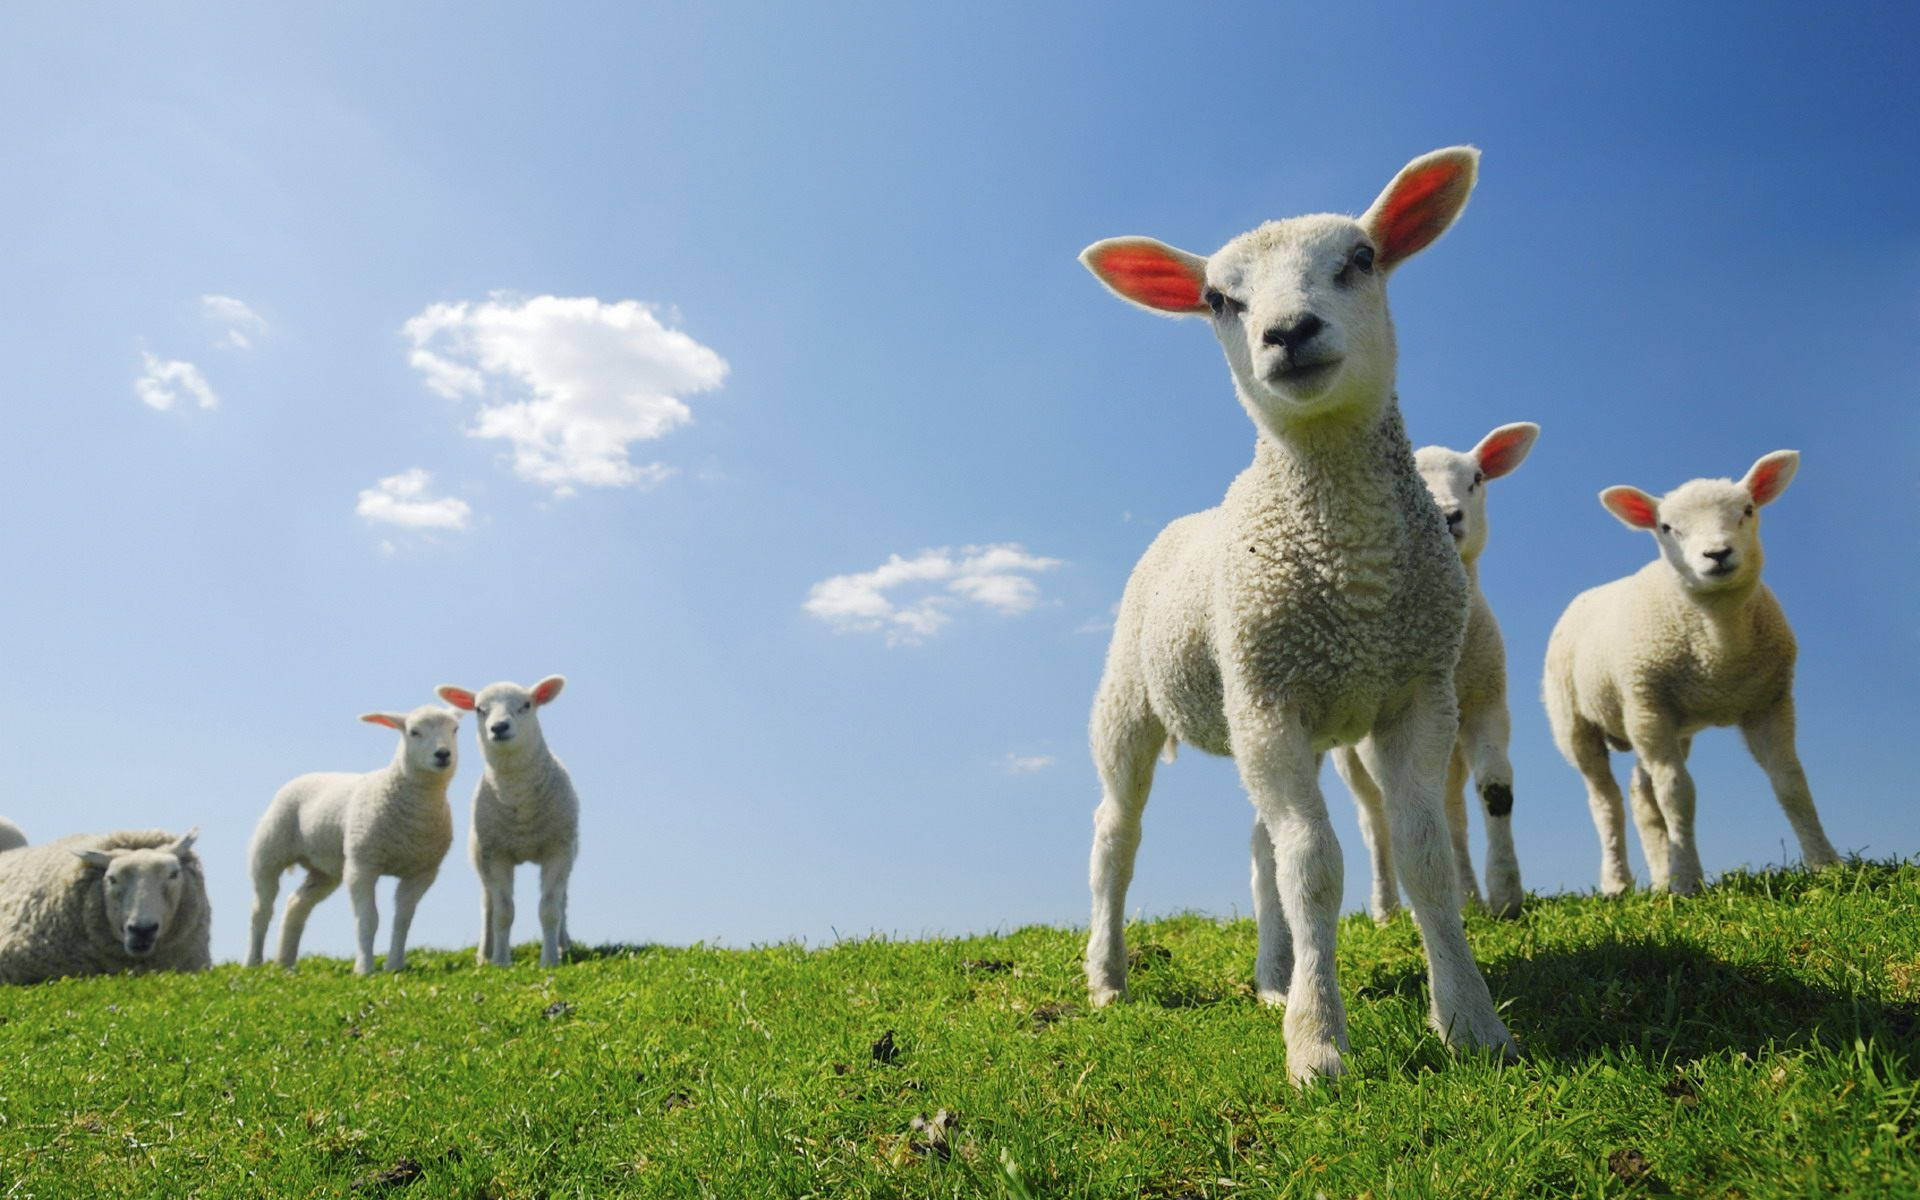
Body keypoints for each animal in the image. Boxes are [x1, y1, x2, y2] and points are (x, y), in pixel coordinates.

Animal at [246, 705, 461, 974]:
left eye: (455, 729)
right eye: (414, 732)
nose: (443, 754)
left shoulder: (422, 873)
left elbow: (402, 920)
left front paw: (394, 966)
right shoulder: (362, 865)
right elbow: (368, 919)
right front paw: (364, 968)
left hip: (325, 870)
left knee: (296, 903)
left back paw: (285, 962)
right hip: (269, 851)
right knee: (261, 909)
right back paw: (253, 962)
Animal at [435, 677, 577, 968]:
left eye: (526, 705)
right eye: (479, 709)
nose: (499, 727)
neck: (520, 804)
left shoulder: (557, 849)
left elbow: (549, 908)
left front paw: (549, 960)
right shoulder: (496, 853)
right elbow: (503, 911)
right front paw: (501, 961)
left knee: (563, 900)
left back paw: (563, 944)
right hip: (480, 855)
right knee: (487, 904)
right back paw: (485, 954)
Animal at [1078, 146, 1516, 1083]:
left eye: (1362, 258)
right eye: (1218, 299)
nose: (1287, 332)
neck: (1353, 574)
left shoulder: (1415, 693)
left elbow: (1422, 854)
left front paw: (1470, 1020)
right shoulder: (1271, 700)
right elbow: (1315, 866)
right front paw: (1317, 1045)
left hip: (1278, 712)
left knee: (1260, 848)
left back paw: (1273, 975)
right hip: (1141, 702)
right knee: (1116, 838)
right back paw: (1107, 976)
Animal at [1333, 422, 1538, 922]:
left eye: (1477, 479)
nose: (1448, 516)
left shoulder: (1487, 701)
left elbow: (1495, 789)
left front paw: (1505, 894)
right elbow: (1398, 814)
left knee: (1450, 809)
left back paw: (1467, 895)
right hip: (1349, 755)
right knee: (1375, 820)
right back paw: (1386, 908)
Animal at [1544, 450, 1840, 895]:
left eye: (1747, 510)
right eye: (1666, 528)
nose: (1717, 554)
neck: (1719, 650)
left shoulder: (1770, 702)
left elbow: (1791, 782)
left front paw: (1827, 864)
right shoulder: (1650, 704)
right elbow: (1677, 793)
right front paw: (1687, 881)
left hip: (1654, 720)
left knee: (1641, 795)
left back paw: (1659, 878)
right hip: (1579, 720)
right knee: (1606, 801)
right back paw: (1617, 882)